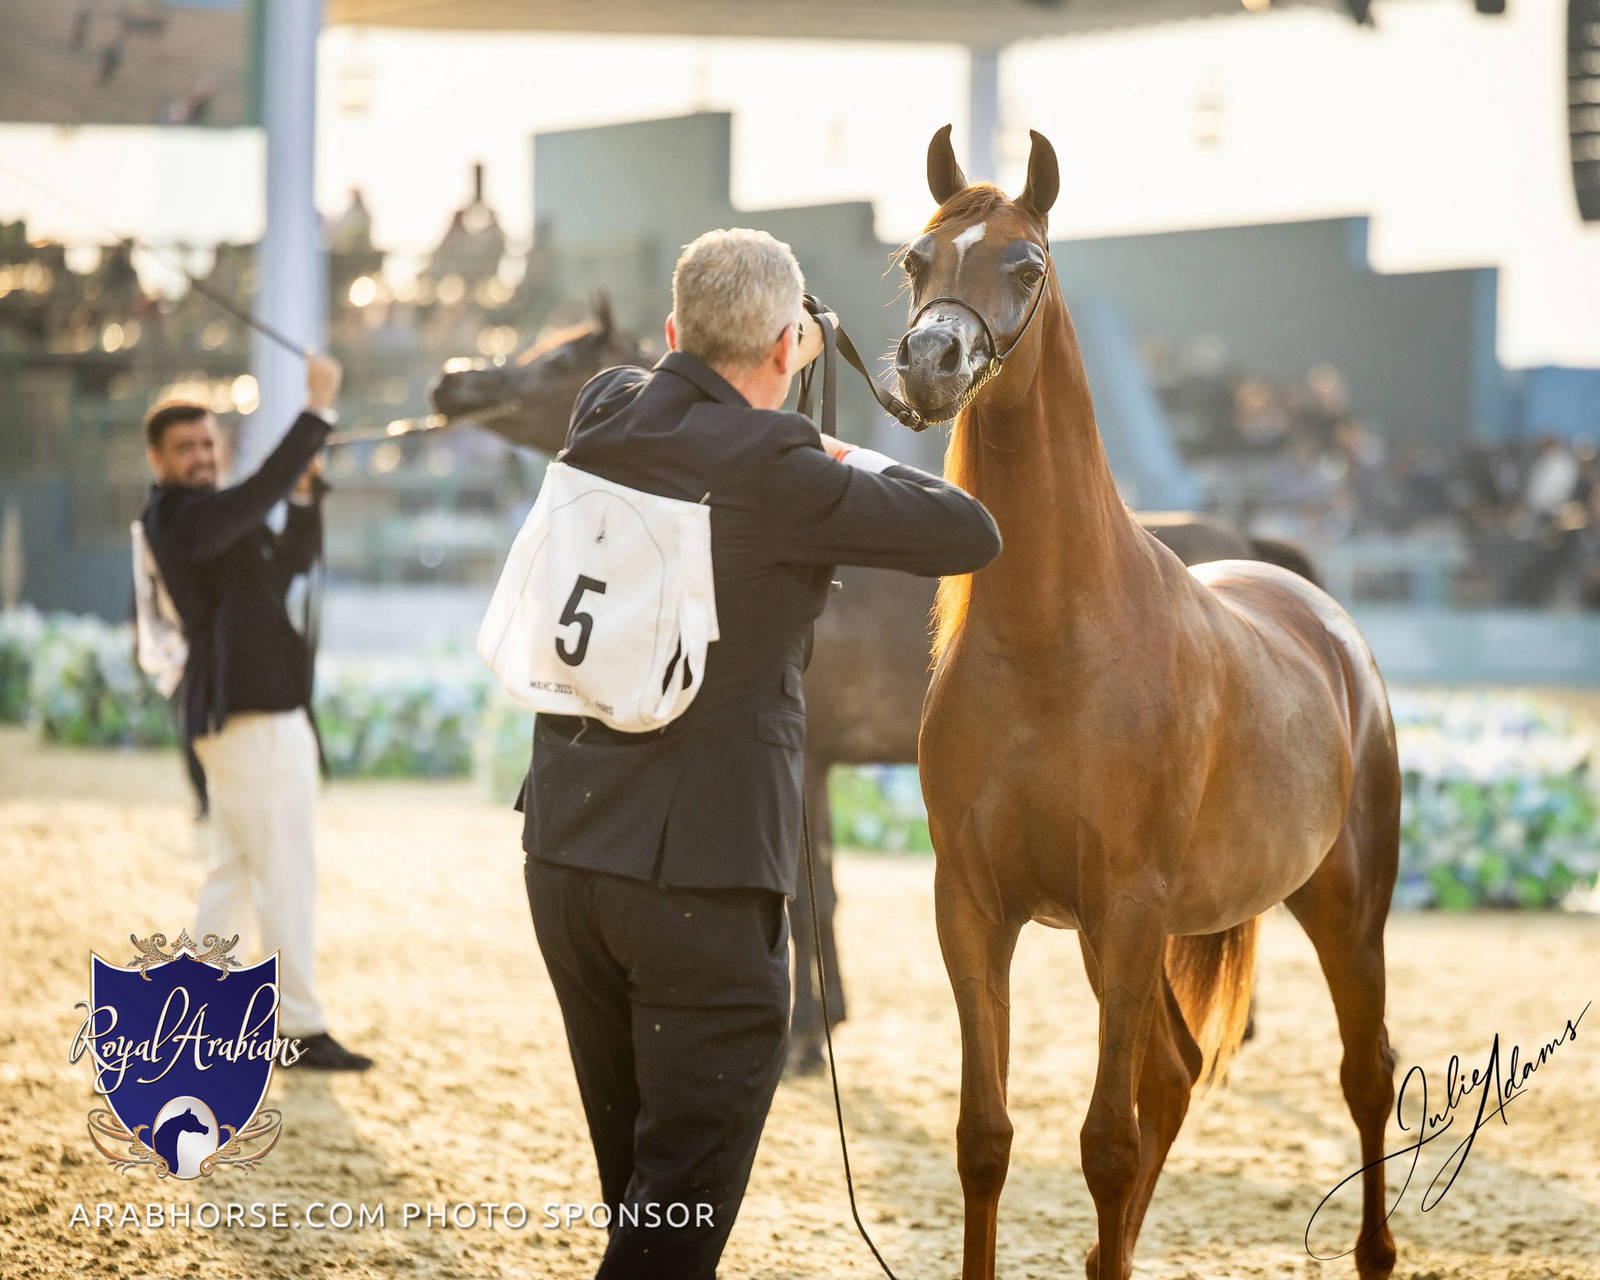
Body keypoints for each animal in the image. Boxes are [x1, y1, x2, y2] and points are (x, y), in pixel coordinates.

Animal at [429, 299, 1321, 1076]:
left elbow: (806, 894)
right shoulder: (817, 765)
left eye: (566, 356)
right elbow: (817, 890)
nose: (452, 381)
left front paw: (802, 1040)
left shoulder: (806, 759)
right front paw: (827, 1019)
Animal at [894, 125, 1399, 1280]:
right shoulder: (975, 907)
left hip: (1346, 911)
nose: (928, 363)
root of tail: (1322, 618)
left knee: (1365, 1072)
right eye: (915, 259)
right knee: (1170, 1070)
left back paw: (1376, 1251)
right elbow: (985, 1137)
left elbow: (1105, 1144)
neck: (1053, 641)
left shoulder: (1126, 906)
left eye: (1024, 265)